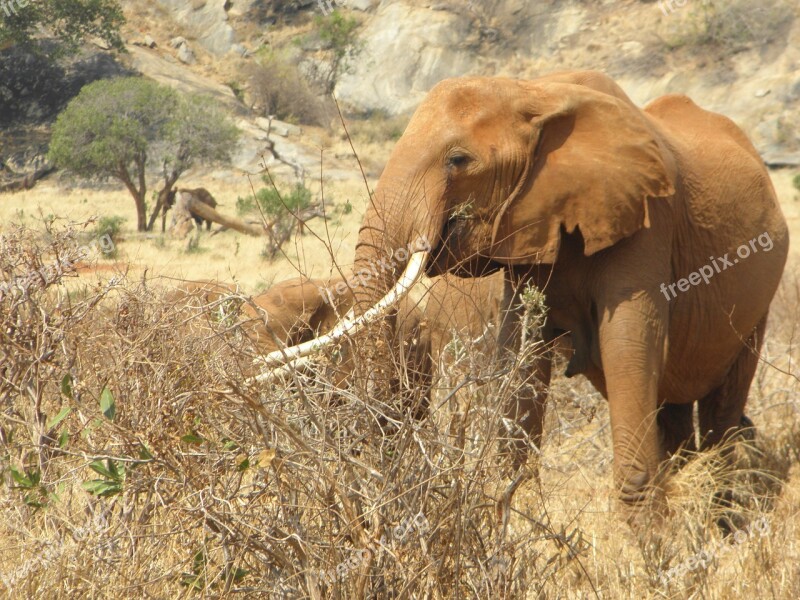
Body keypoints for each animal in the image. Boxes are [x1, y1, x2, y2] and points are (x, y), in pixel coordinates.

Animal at [266, 71, 792, 516]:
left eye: (458, 160)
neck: (536, 91)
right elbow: (518, 355)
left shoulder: (646, 222)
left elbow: (627, 346)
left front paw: (652, 554)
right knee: (675, 408)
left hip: (762, 293)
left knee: (722, 407)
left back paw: (721, 517)